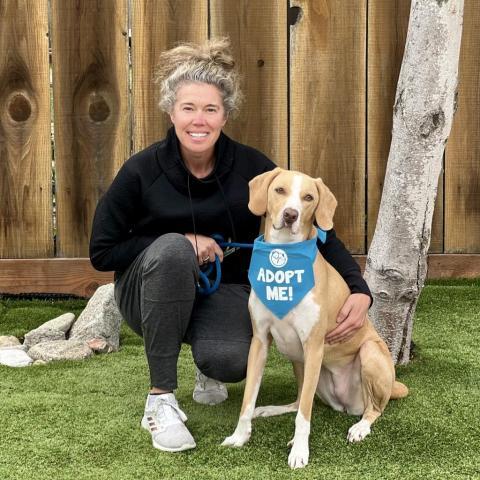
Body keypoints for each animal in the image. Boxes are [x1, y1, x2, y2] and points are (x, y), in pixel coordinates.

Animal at [222, 169, 408, 468]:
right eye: (280, 190)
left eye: (308, 197)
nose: (290, 215)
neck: (285, 258)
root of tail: (346, 405)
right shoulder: (259, 342)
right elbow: (249, 399)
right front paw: (240, 436)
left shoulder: (314, 346)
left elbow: (304, 418)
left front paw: (299, 451)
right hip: (299, 361)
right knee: (299, 400)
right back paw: (272, 409)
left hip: (367, 354)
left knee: (374, 409)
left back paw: (360, 427)